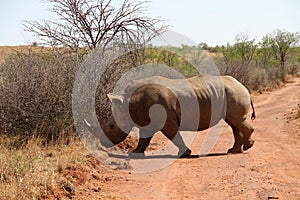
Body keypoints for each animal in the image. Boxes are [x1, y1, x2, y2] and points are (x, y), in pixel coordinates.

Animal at [92, 74, 255, 157]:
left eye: (111, 126)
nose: (103, 143)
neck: (128, 102)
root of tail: (244, 87)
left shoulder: (165, 118)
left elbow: (173, 135)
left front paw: (185, 154)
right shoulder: (146, 119)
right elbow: (145, 137)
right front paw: (135, 153)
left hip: (233, 93)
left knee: (235, 120)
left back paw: (246, 147)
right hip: (229, 94)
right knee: (233, 122)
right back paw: (234, 150)